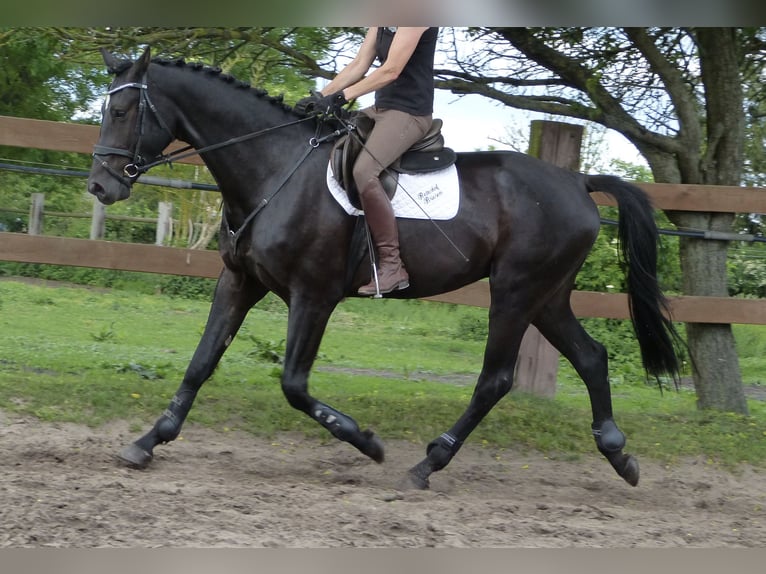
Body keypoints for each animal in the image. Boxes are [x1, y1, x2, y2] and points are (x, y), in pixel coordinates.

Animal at [87, 48, 680, 490]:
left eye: (121, 113)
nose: (100, 186)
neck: (273, 168)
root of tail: (577, 181)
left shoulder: (314, 295)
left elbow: (294, 385)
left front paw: (367, 443)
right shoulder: (240, 282)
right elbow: (201, 362)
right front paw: (147, 441)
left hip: (515, 291)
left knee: (496, 379)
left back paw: (428, 463)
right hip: (547, 295)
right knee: (592, 357)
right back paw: (618, 455)